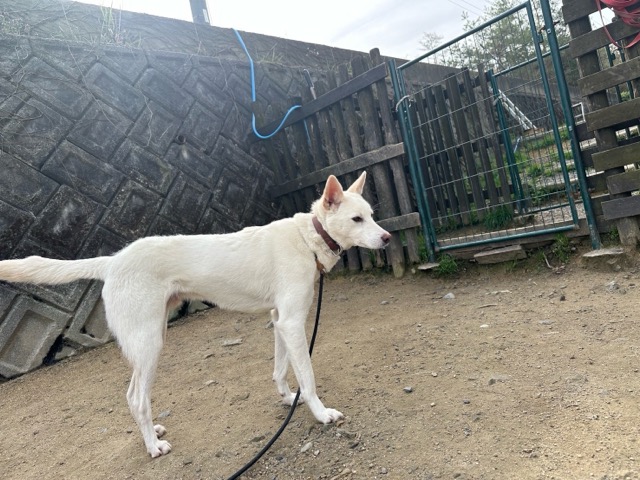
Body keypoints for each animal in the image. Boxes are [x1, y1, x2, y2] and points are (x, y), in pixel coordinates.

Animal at [0, 172, 391, 457]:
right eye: (356, 219)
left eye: (371, 215)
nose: (387, 237)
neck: (308, 237)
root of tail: (113, 261)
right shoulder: (294, 322)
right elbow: (308, 379)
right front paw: (321, 414)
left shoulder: (281, 320)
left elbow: (281, 369)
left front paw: (285, 397)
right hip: (150, 344)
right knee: (135, 398)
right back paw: (153, 447)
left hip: (151, 338)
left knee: (135, 397)